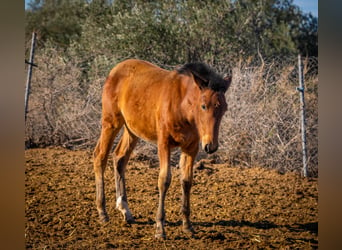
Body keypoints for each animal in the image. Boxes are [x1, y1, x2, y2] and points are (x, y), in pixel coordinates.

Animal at [93, 58, 232, 238]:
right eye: (203, 106)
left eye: (224, 108)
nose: (211, 146)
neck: (182, 105)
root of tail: (115, 70)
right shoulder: (164, 144)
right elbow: (164, 180)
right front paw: (160, 228)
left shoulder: (191, 147)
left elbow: (186, 181)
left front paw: (187, 226)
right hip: (111, 123)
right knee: (100, 157)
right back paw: (102, 212)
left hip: (132, 130)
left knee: (119, 158)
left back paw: (125, 210)